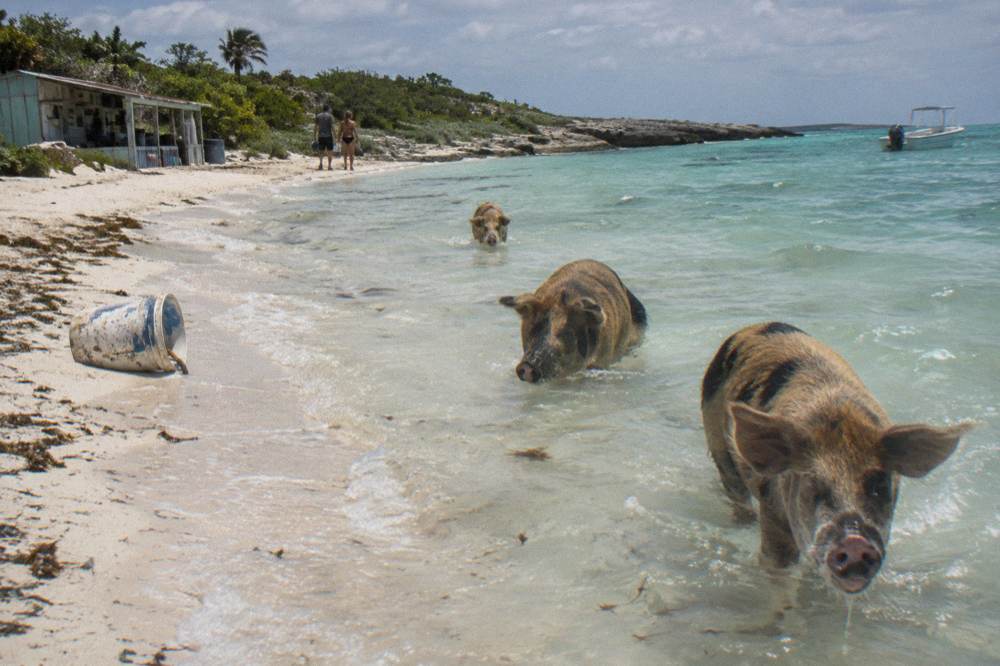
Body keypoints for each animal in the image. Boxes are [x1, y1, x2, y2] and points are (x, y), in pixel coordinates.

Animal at [701, 322, 971, 594]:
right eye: (813, 485)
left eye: (879, 486)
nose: (854, 541)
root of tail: (751, 327)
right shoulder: (773, 514)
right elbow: (776, 567)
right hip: (718, 445)